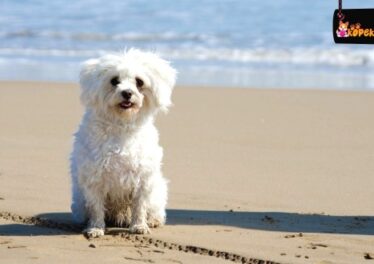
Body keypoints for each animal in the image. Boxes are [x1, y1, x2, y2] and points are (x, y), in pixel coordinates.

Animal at [70, 48, 177, 238]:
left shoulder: (143, 177)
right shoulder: (94, 177)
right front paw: (95, 228)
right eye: (114, 81)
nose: (127, 92)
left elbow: (140, 206)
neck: (122, 124)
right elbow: (96, 207)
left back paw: (153, 220)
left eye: (139, 82)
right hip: (79, 202)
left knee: (154, 210)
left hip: (157, 191)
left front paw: (139, 226)